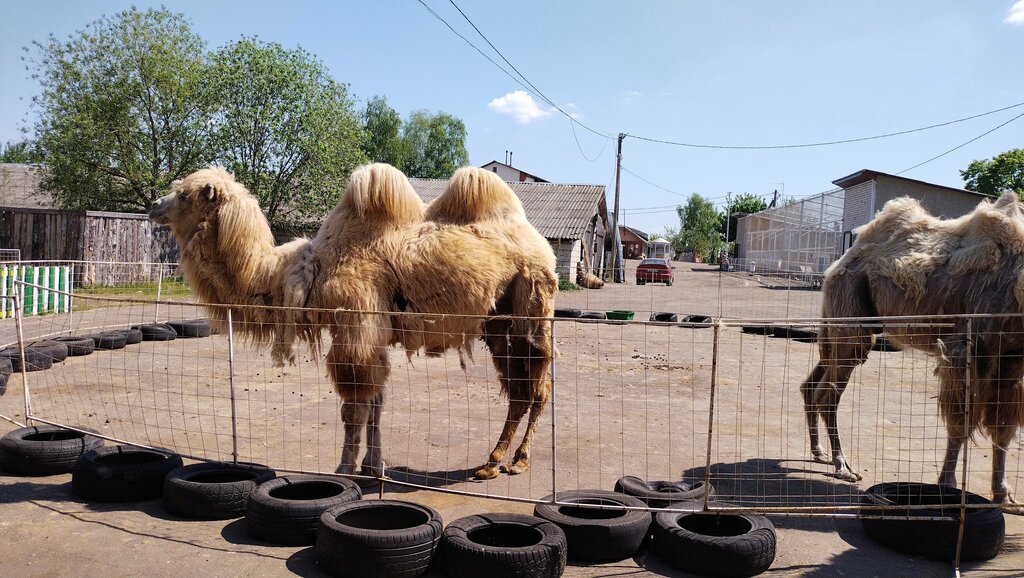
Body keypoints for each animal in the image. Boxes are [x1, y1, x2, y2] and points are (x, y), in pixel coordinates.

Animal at [148, 163, 557, 479]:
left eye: (183, 195)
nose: (153, 206)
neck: (298, 272)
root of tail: (540, 242)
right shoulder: (368, 336)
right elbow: (375, 401)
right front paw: (373, 466)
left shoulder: (356, 325)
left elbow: (354, 406)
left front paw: (345, 468)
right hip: (497, 323)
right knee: (519, 390)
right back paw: (491, 462)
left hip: (532, 302)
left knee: (537, 387)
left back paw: (518, 461)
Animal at [798, 192, 1024, 510]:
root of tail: (837, 264)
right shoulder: (970, 348)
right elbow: (960, 423)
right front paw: (947, 486)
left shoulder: (1013, 359)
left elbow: (1003, 428)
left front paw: (1005, 495)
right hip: (849, 306)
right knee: (827, 393)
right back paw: (843, 466)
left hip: (835, 325)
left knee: (812, 384)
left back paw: (819, 452)